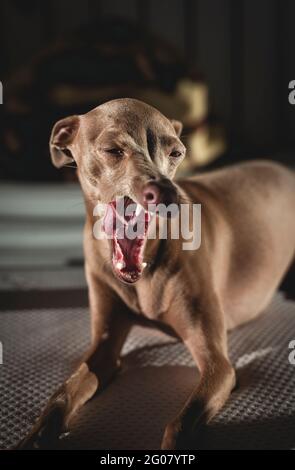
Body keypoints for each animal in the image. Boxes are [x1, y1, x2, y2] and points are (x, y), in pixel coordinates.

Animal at [17, 98, 295, 448]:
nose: (167, 193)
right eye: (112, 149)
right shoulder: (104, 347)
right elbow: (61, 395)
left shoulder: (218, 365)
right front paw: (34, 437)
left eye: (176, 153)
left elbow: (178, 425)